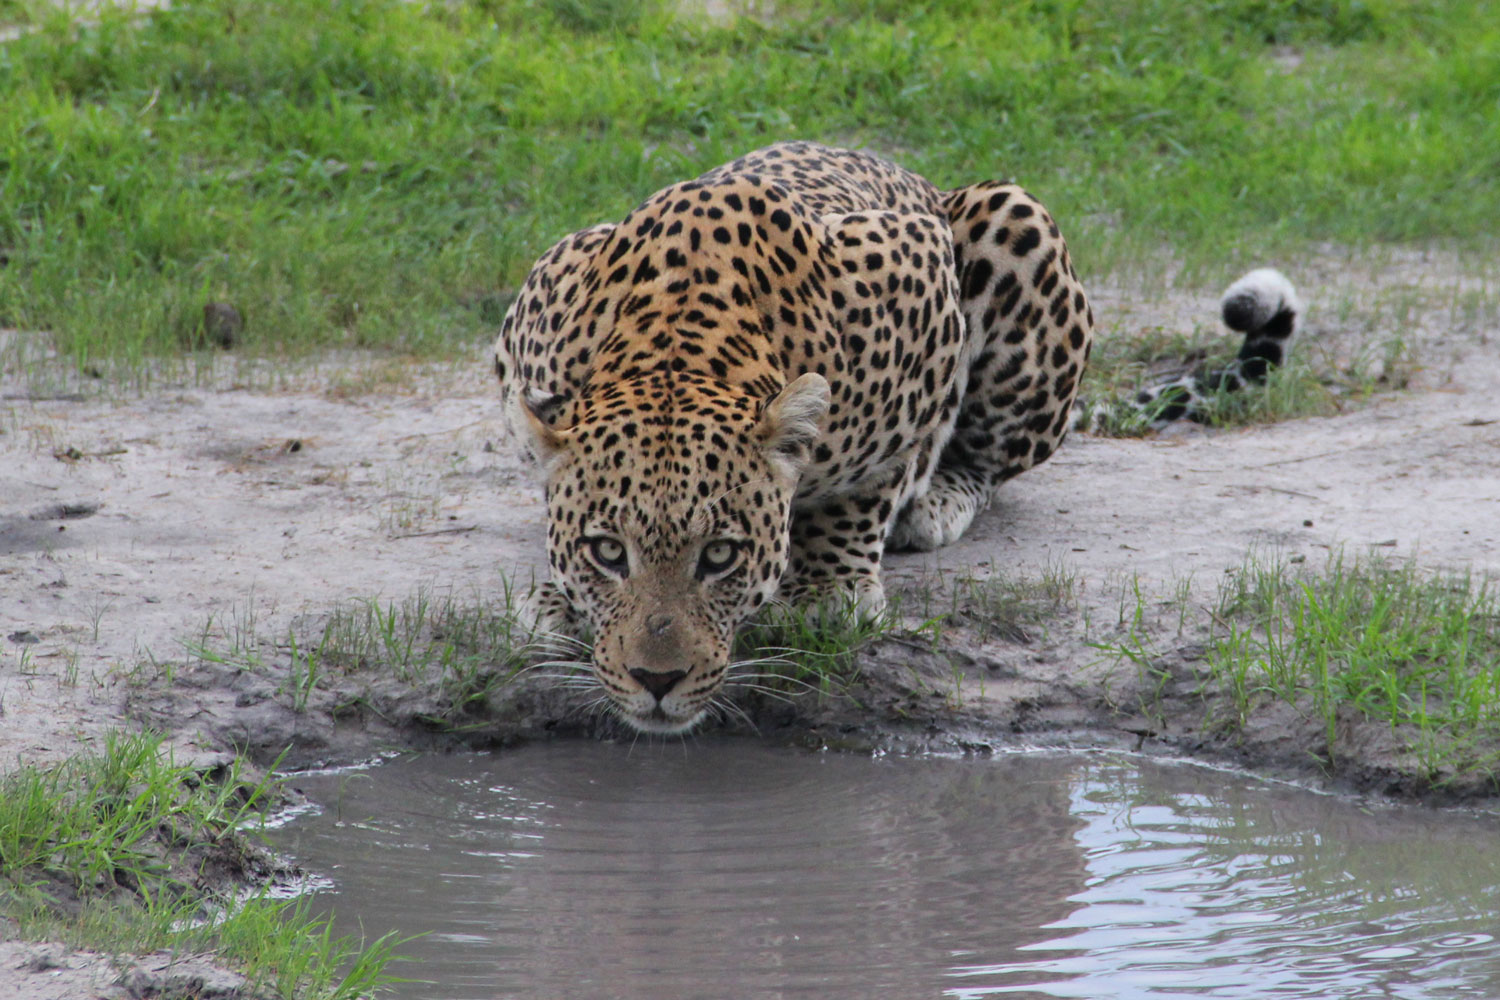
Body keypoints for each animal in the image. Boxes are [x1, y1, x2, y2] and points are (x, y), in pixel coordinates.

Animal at [493, 141, 1093, 734]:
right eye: (608, 551)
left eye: (719, 556)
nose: (656, 680)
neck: (674, 340)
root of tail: (922, 179)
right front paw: (559, 600)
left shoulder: (923, 286)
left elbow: (874, 476)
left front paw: (826, 588)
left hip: (1015, 223)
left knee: (986, 458)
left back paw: (938, 501)